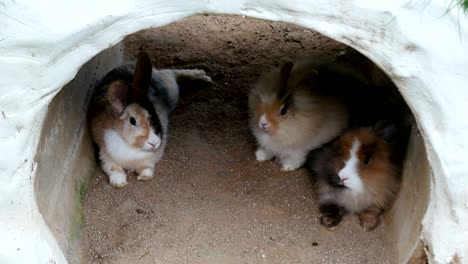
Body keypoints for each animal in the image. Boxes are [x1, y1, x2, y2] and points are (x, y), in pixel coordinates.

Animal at [88, 52, 212, 188]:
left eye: (154, 114)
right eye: (133, 121)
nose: (154, 143)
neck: (133, 147)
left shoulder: (150, 160)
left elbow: (147, 167)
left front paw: (144, 177)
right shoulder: (105, 157)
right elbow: (115, 170)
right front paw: (119, 183)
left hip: (172, 89)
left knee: (172, 72)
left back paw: (203, 76)